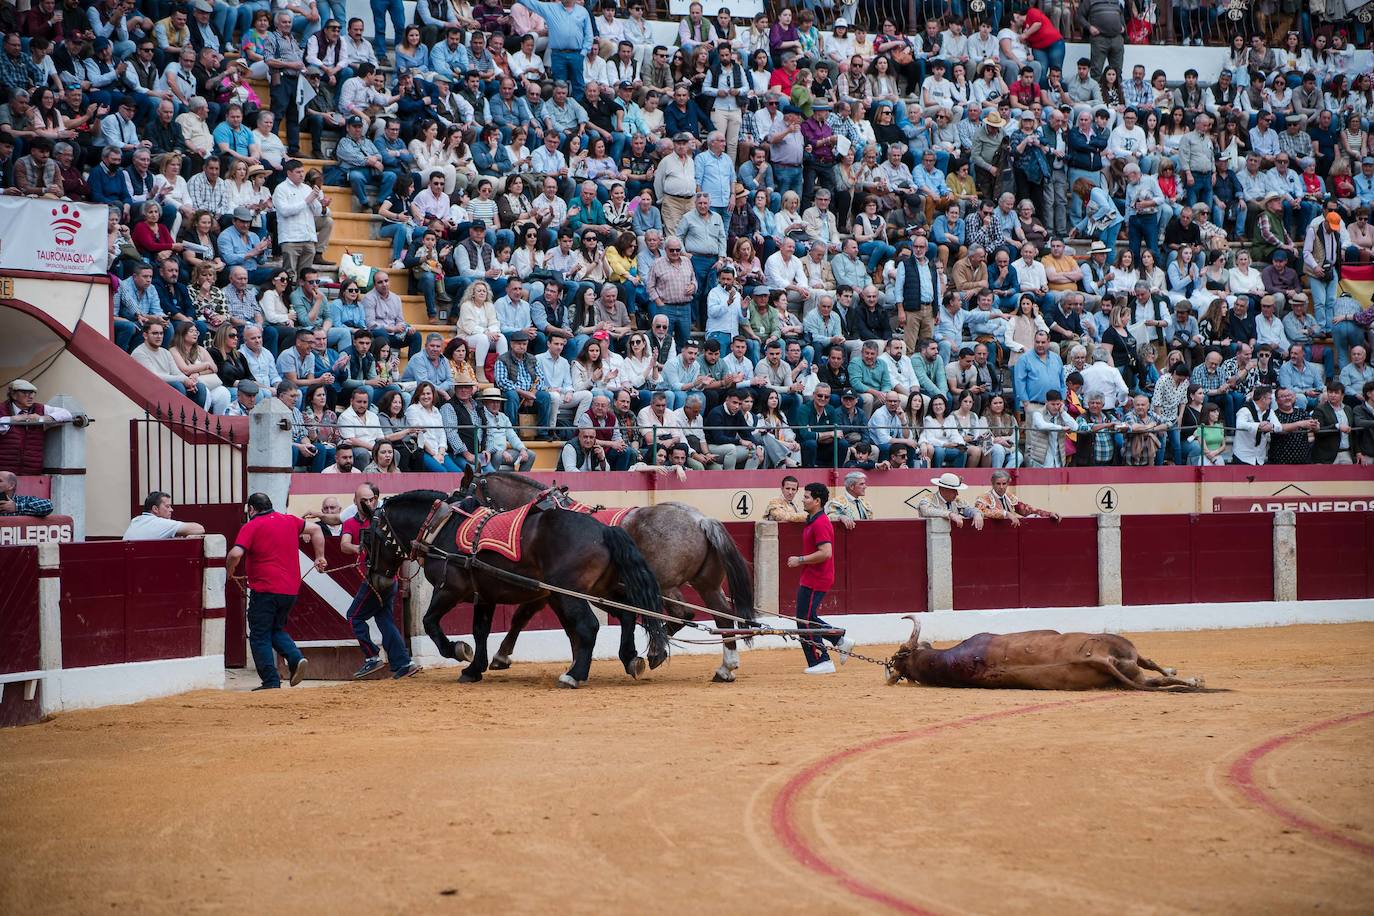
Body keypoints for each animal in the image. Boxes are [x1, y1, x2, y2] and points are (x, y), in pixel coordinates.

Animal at [362, 491, 667, 683]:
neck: (442, 527)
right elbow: (480, 630)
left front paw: (458, 650)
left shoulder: (449, 589)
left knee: (589, 626)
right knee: (626, 614)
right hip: (597, 591)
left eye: (369, 537)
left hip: (572, 594)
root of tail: (604, 530)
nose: (378, 580)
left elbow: (430, 622)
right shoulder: (484, 595)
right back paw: (630, 658)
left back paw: (575, 675)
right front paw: (474, 668)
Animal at [467, 472, 758, 681]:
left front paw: (502, 656)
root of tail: (700, 519)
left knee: (678, 613)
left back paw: (658, 651)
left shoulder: (551, 590)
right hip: (706, 584)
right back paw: (724, 667)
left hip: (664, 583)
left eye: (465, 493)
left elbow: (524, 617)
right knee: (720, 616)